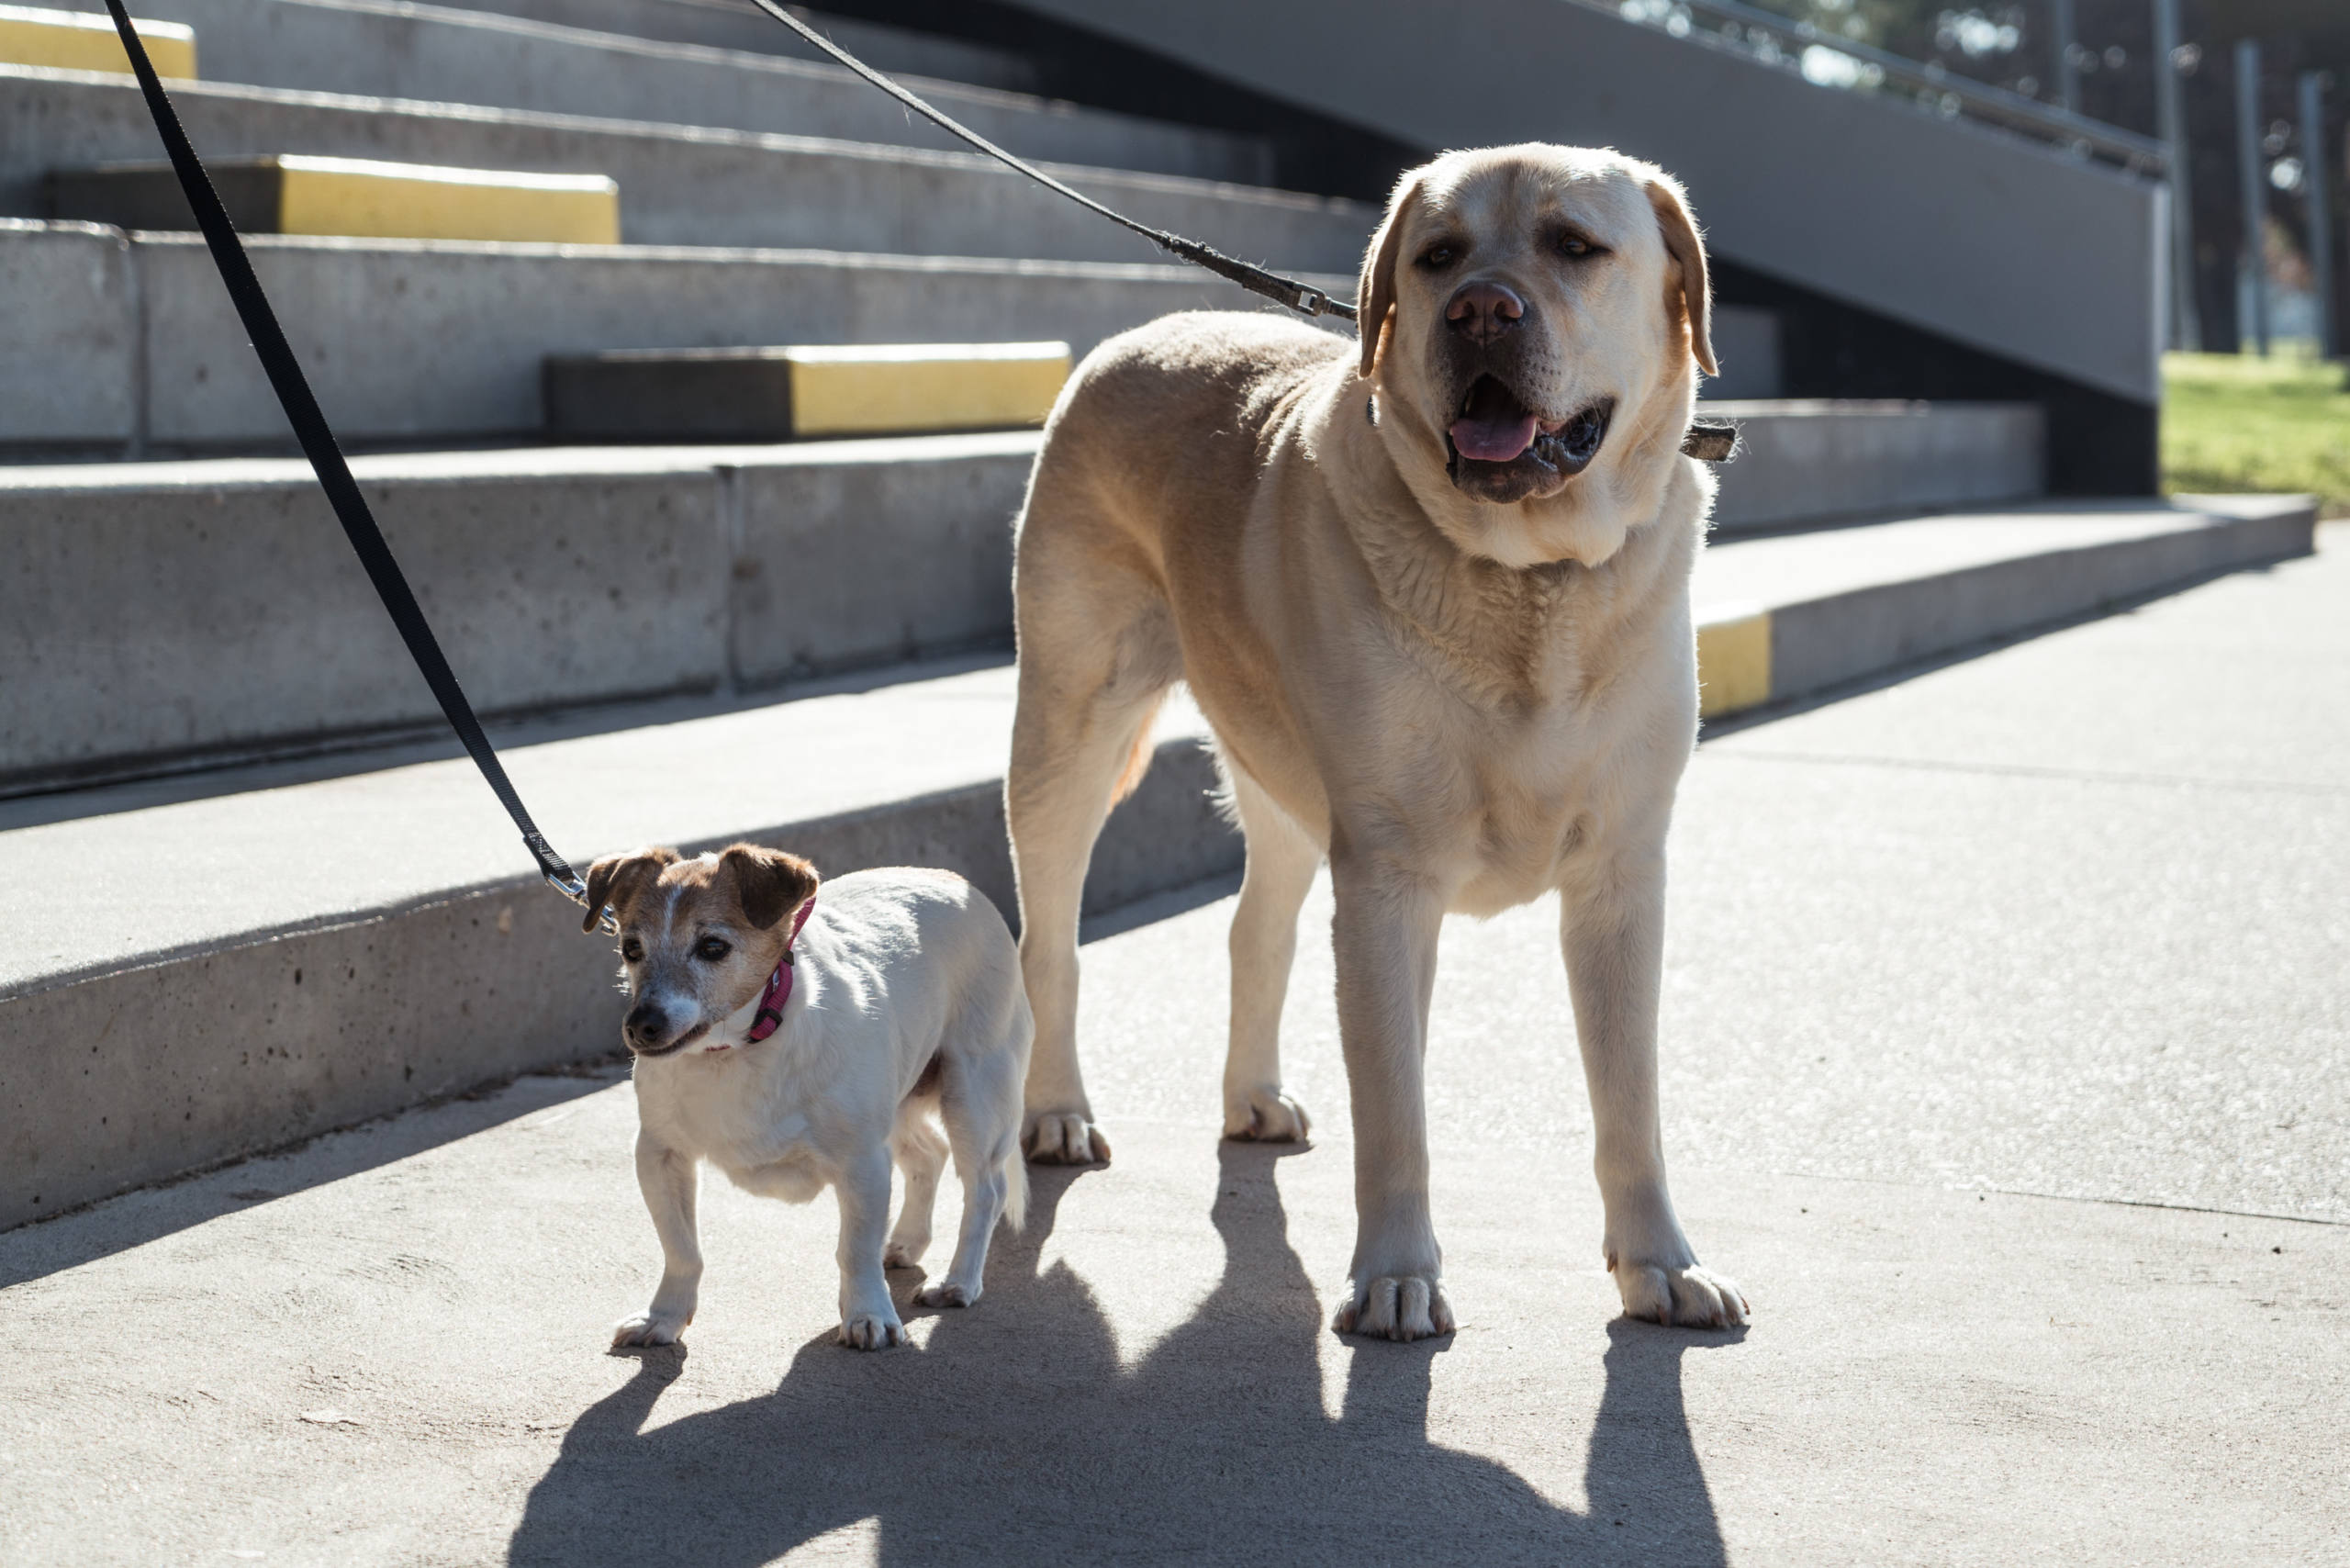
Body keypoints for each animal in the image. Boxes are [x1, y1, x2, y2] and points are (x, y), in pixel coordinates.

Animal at [585, 846, 1029, 1353]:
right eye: (631, 949)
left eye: (713, 947)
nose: (641, 1026)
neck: (737, 1048)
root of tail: (955, 882)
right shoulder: (660, 1155)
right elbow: (682, 1250)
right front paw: (664, 1318)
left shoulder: (862, 1162)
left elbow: (854, 1250)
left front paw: (868, 1314)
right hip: (902, 1096)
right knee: (928, 1155)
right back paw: (905, 1243)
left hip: (975, 1093)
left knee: (985, 1191)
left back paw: (958, 1281)